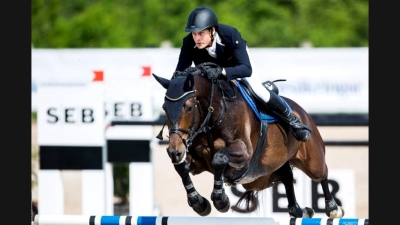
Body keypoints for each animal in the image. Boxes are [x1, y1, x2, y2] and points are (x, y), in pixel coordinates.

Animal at [152, 64, 346, 218]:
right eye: (164, 107)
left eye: (189, 107)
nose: (174, 151)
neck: (214, 114)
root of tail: (301, 111)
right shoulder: (198, 161)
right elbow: (182, 167)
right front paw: (199, 202)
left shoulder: (243, 153)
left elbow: (219, 159)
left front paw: (221, 199)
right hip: (260, 177)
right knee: (287, 176)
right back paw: (298, 210)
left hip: (311, 160)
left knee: (322, 174)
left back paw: (332, 208)